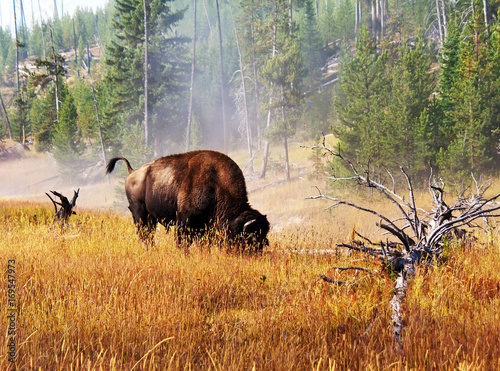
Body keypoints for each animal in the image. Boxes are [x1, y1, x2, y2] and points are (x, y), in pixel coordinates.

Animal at [105, 150, 270, 250]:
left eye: (263, 235)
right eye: (249, 237)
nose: (256, 253)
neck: (217, 185)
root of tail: (133, 172)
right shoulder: (184, 220)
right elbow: (182, 241)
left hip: (151, 217)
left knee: (148, 233)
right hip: (139, 213)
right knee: (143, 233)